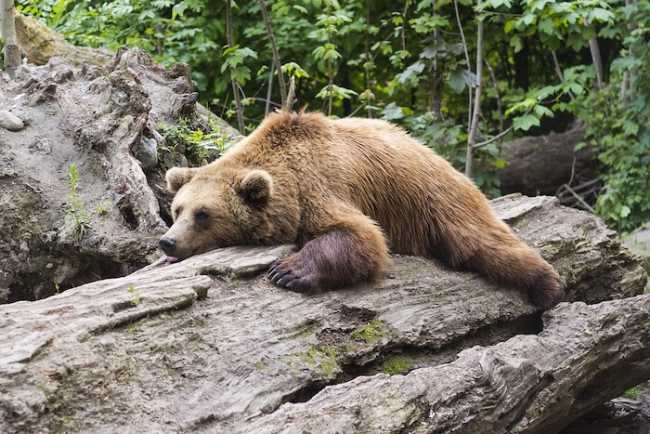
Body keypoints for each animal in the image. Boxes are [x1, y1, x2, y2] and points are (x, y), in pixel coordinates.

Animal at [160, 111, 564, 308]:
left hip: (434, 199)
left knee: (482, 242)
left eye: (203, 214)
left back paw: (547, 285)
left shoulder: (319, 187)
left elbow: (361, 236)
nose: (168, 242)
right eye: (177, 210)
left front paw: (287, 271)